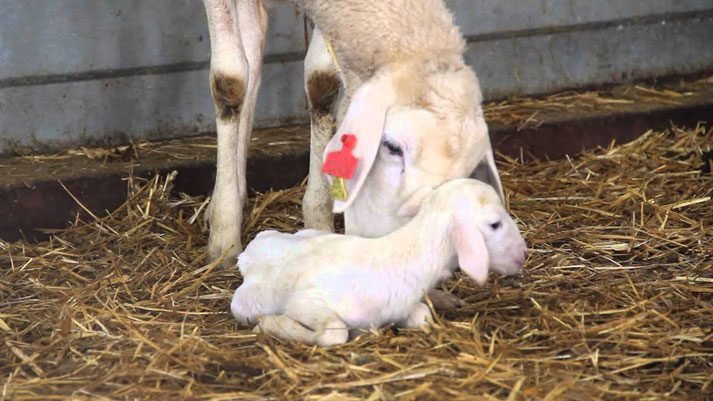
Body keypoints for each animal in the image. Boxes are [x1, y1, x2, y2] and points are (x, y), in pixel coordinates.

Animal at [231, 179, 527, 346]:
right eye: (495, 224)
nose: (523, 254)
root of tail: (252, 250)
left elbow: (422, 315)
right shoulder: (306, 302)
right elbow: (335, 332)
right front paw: (269, 325)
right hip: (243, 305)